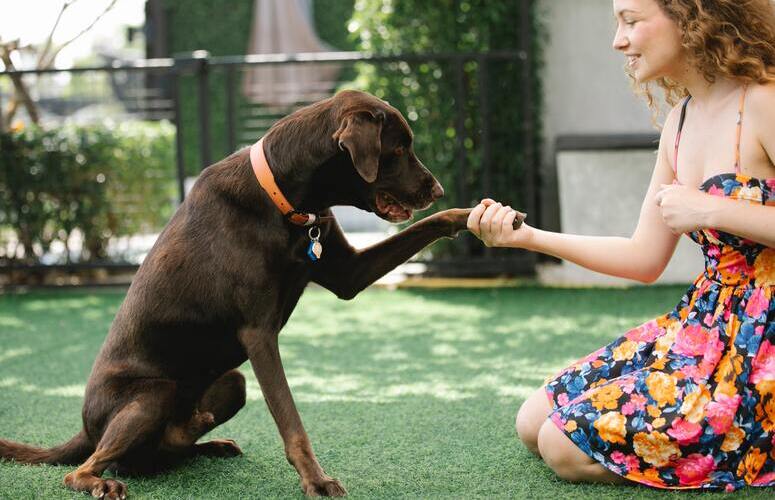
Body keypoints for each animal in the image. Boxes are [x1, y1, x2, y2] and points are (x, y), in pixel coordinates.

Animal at [0, 89, 478, 496]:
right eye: (397, 150)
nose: (437, 188)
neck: (286, 198)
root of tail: (84, 428)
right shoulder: (258, 333)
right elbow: (290, 418)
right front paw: (316, 480)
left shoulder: (349, 274)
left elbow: (428, 226)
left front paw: (471, 215)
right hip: (152, 394)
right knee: (84, 469)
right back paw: (102, 482)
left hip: (232, 380)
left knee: (168, 447)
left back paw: (206, 439)